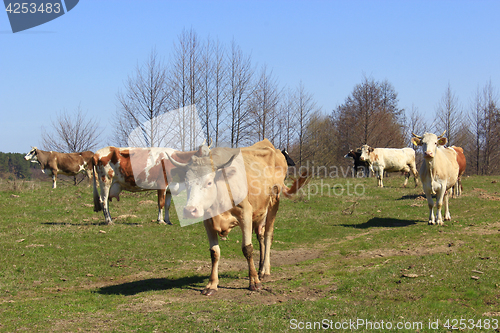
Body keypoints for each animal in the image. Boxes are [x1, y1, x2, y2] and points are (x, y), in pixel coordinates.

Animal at [167, 139, 308, 294]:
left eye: (209, 182)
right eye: (186, 183)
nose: (189, 210)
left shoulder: (245, 213)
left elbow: (247, 248)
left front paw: (254, 282)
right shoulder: (208, 221)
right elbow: (214, 252)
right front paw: (211, 284)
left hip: (273, 202)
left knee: (268, 236)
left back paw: (265, 270)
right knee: (261, 235)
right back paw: (260, 268)